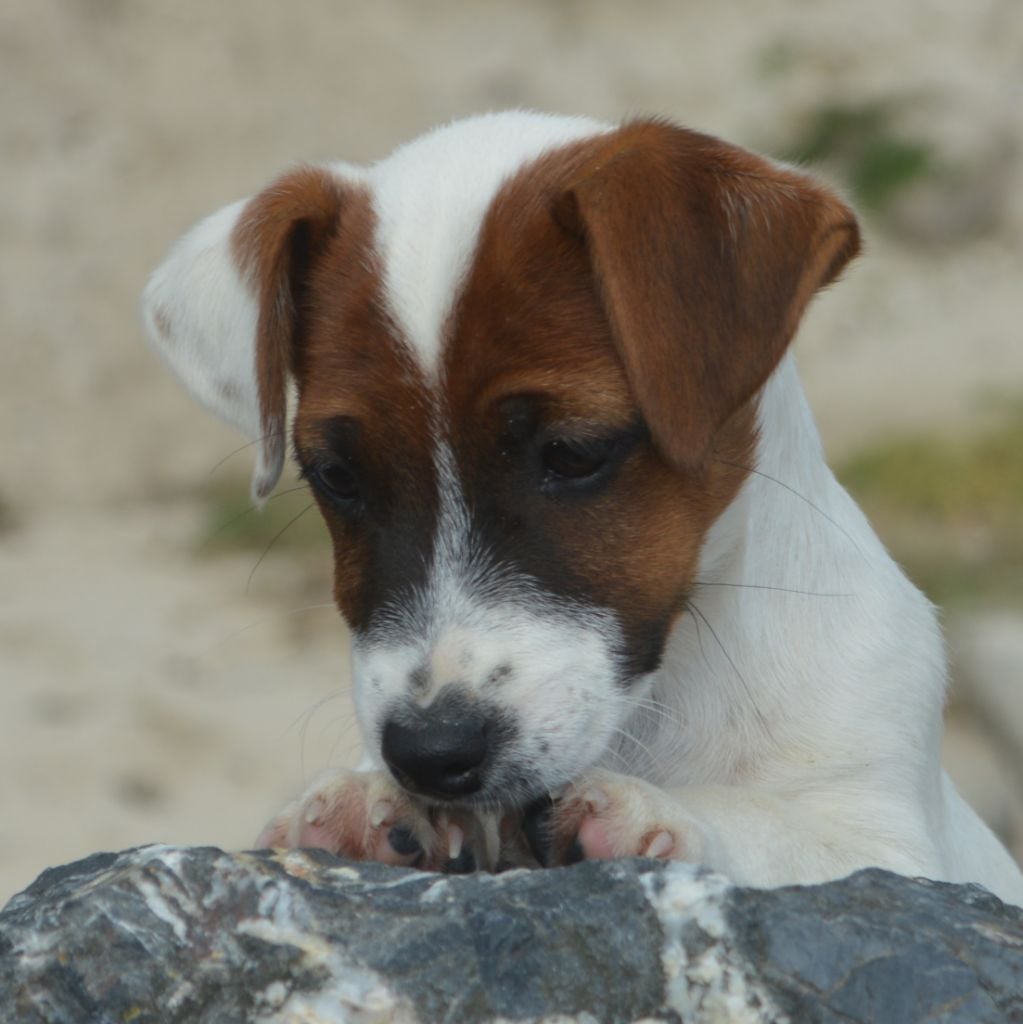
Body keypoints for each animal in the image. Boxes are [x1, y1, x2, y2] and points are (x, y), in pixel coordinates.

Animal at [143, 111, 1023, 902]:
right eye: (335, 476)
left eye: (571, 453)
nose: (430, 754)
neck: (658, 706)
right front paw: (373, 804)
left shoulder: (888, 842)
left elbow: (768, 825)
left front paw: (656, 814)